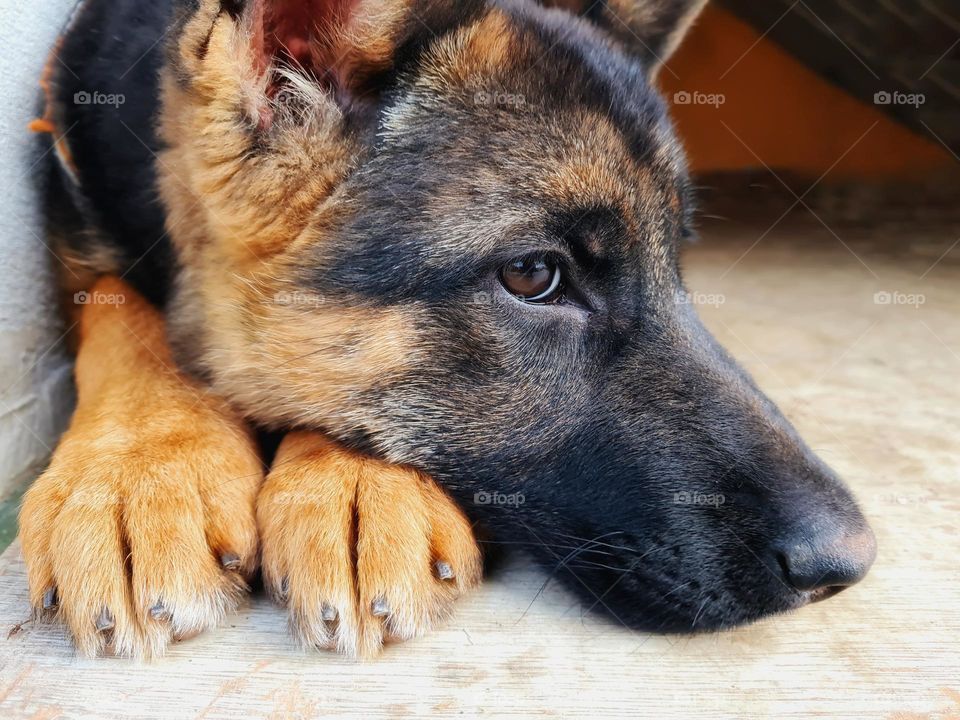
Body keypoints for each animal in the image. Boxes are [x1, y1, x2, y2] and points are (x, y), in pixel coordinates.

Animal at [22, 0, 876, 660]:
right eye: (533, 275)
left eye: (676, 262)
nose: (848, 564)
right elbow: (119, 306)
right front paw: (137, 472)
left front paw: (357, 486)